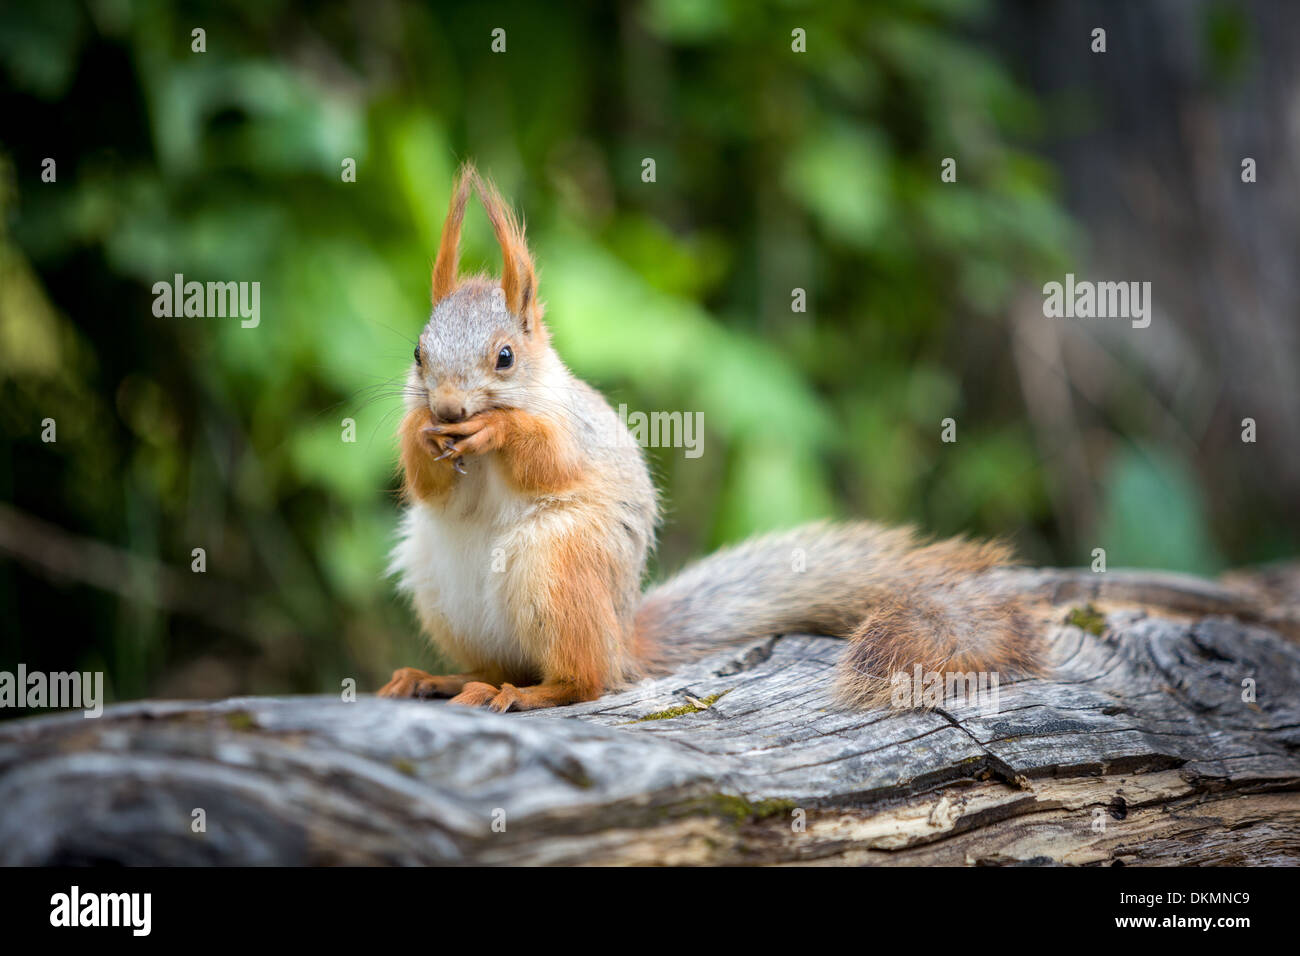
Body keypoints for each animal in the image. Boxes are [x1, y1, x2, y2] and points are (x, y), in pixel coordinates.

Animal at [379, 167, 1045, 712]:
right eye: (417, 354)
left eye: (506, 357)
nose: (448, 407)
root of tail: (620, 637)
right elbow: (427, 483)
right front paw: (422, 432)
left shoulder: (573, 429)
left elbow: (546, 459)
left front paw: (493, 428)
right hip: (439, 586)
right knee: (498, 663)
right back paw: (437, 679)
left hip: (560, 567)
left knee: (582, 681)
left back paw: (526, 692)